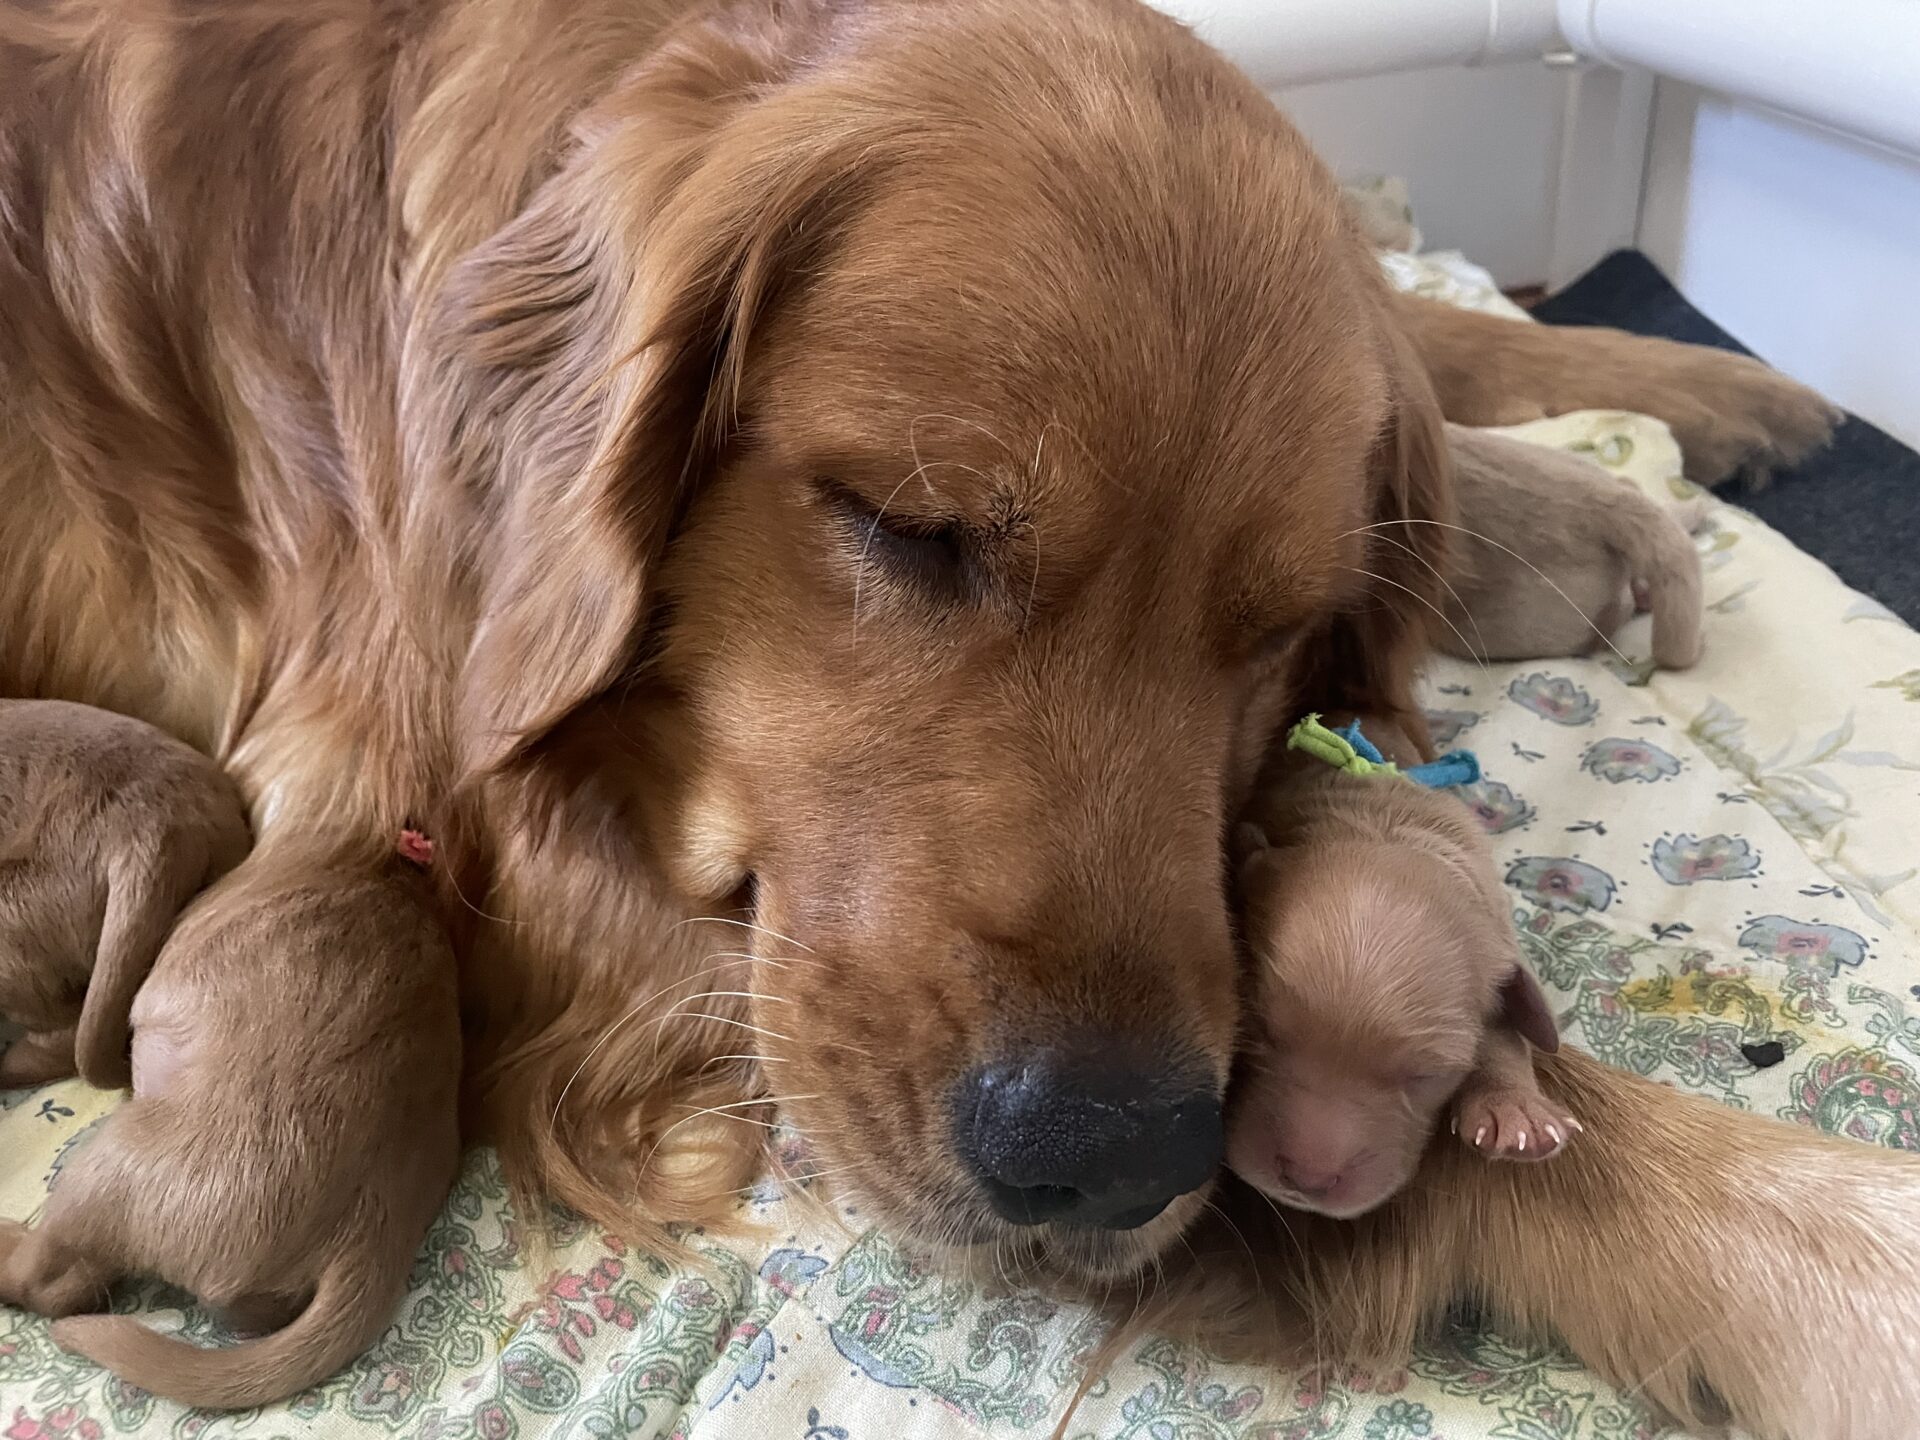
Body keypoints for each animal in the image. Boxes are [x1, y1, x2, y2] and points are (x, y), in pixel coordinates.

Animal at [1228, 739, 1573, 1219]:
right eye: (1255, 1030)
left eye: (1425, 1075)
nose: (1308, 1179)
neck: (1383, 827)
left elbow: (1506, 1023)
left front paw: (1516, 1111)